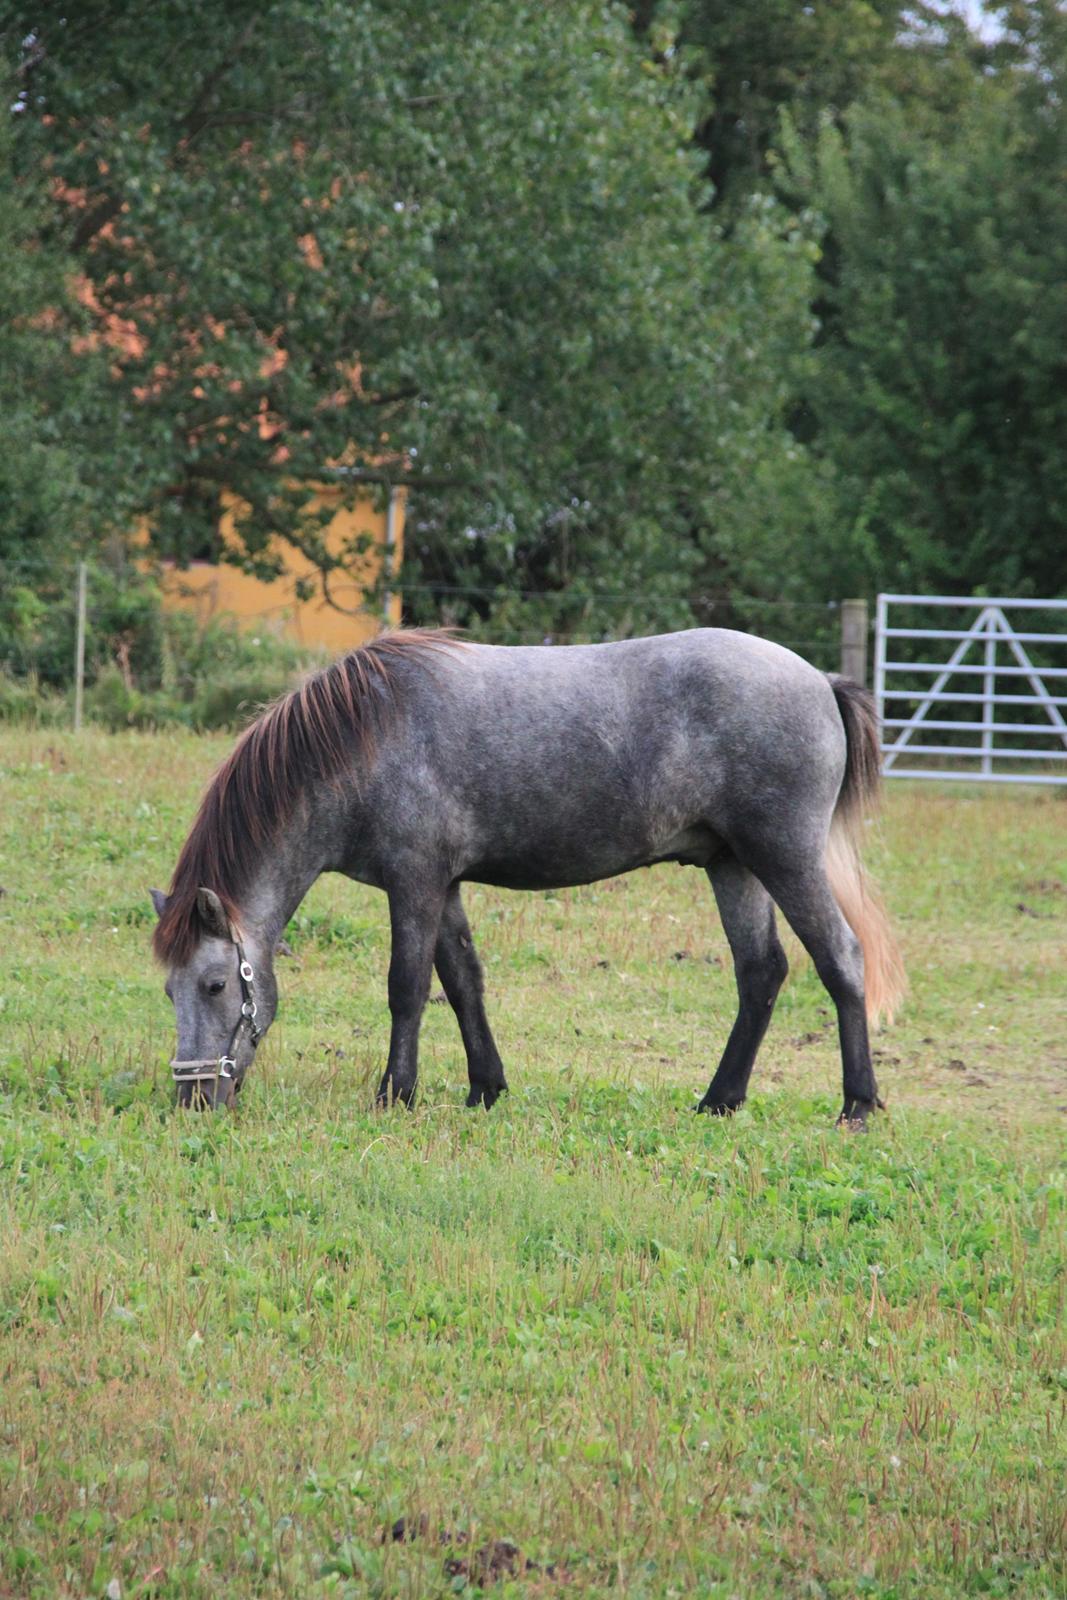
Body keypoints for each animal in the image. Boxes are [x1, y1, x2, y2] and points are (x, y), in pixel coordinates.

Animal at [147, 630, 902, 1120]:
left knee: (839, 959)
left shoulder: (415, 883)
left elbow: (406, 988)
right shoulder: (444, 886)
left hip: (784, 857)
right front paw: (485, 1089)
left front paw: (395, 1095)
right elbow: (463, 983)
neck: (364, 739)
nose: (192, 1099)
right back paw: (719, 1100)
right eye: (169, 991)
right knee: (761, 974)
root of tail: (820, 681)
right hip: (731, 866)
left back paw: (856, 1104)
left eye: (215, 984)